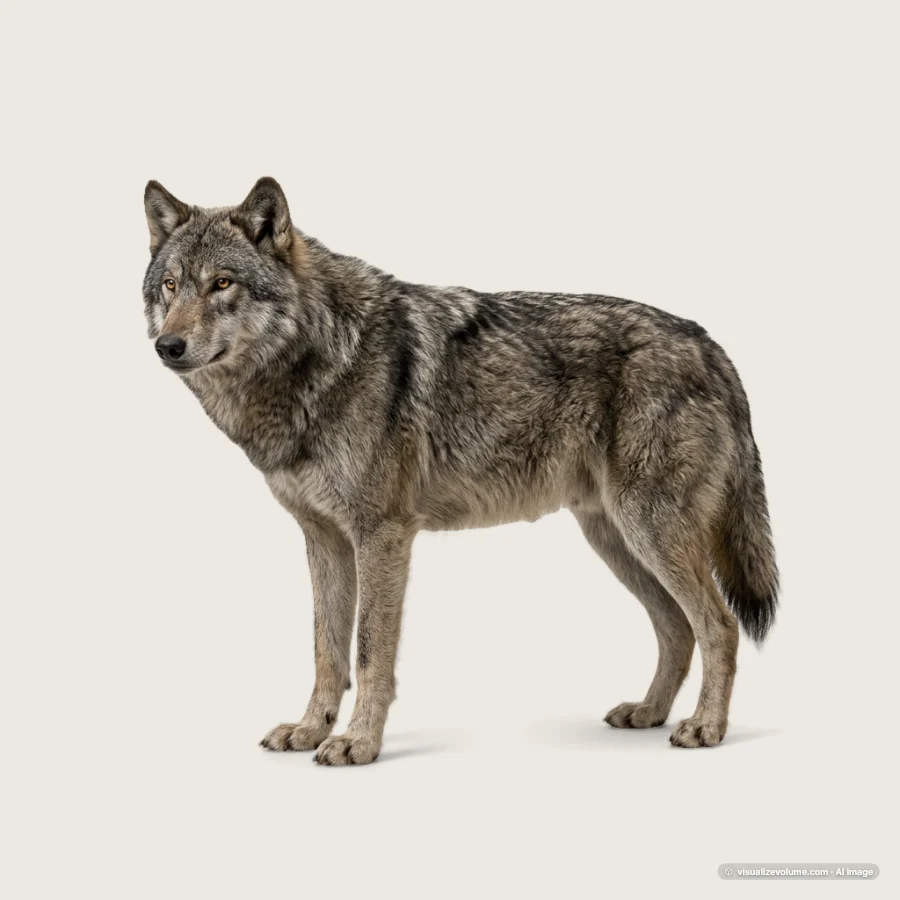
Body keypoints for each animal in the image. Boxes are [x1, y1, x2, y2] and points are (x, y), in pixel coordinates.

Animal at [143, 177, 778, 764]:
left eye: (223, 283)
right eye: (171, 285)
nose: (167, 346)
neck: (319, 357)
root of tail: (712, 346)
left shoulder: (382, 536)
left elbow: (368, 653)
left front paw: (358, 742)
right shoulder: (323, 538)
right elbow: (327, 650)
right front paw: (309, 730)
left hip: (649, 532)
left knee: (719, 625)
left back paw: (705, 728)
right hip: (616, 539)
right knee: (676, 628)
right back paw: (648, 711)